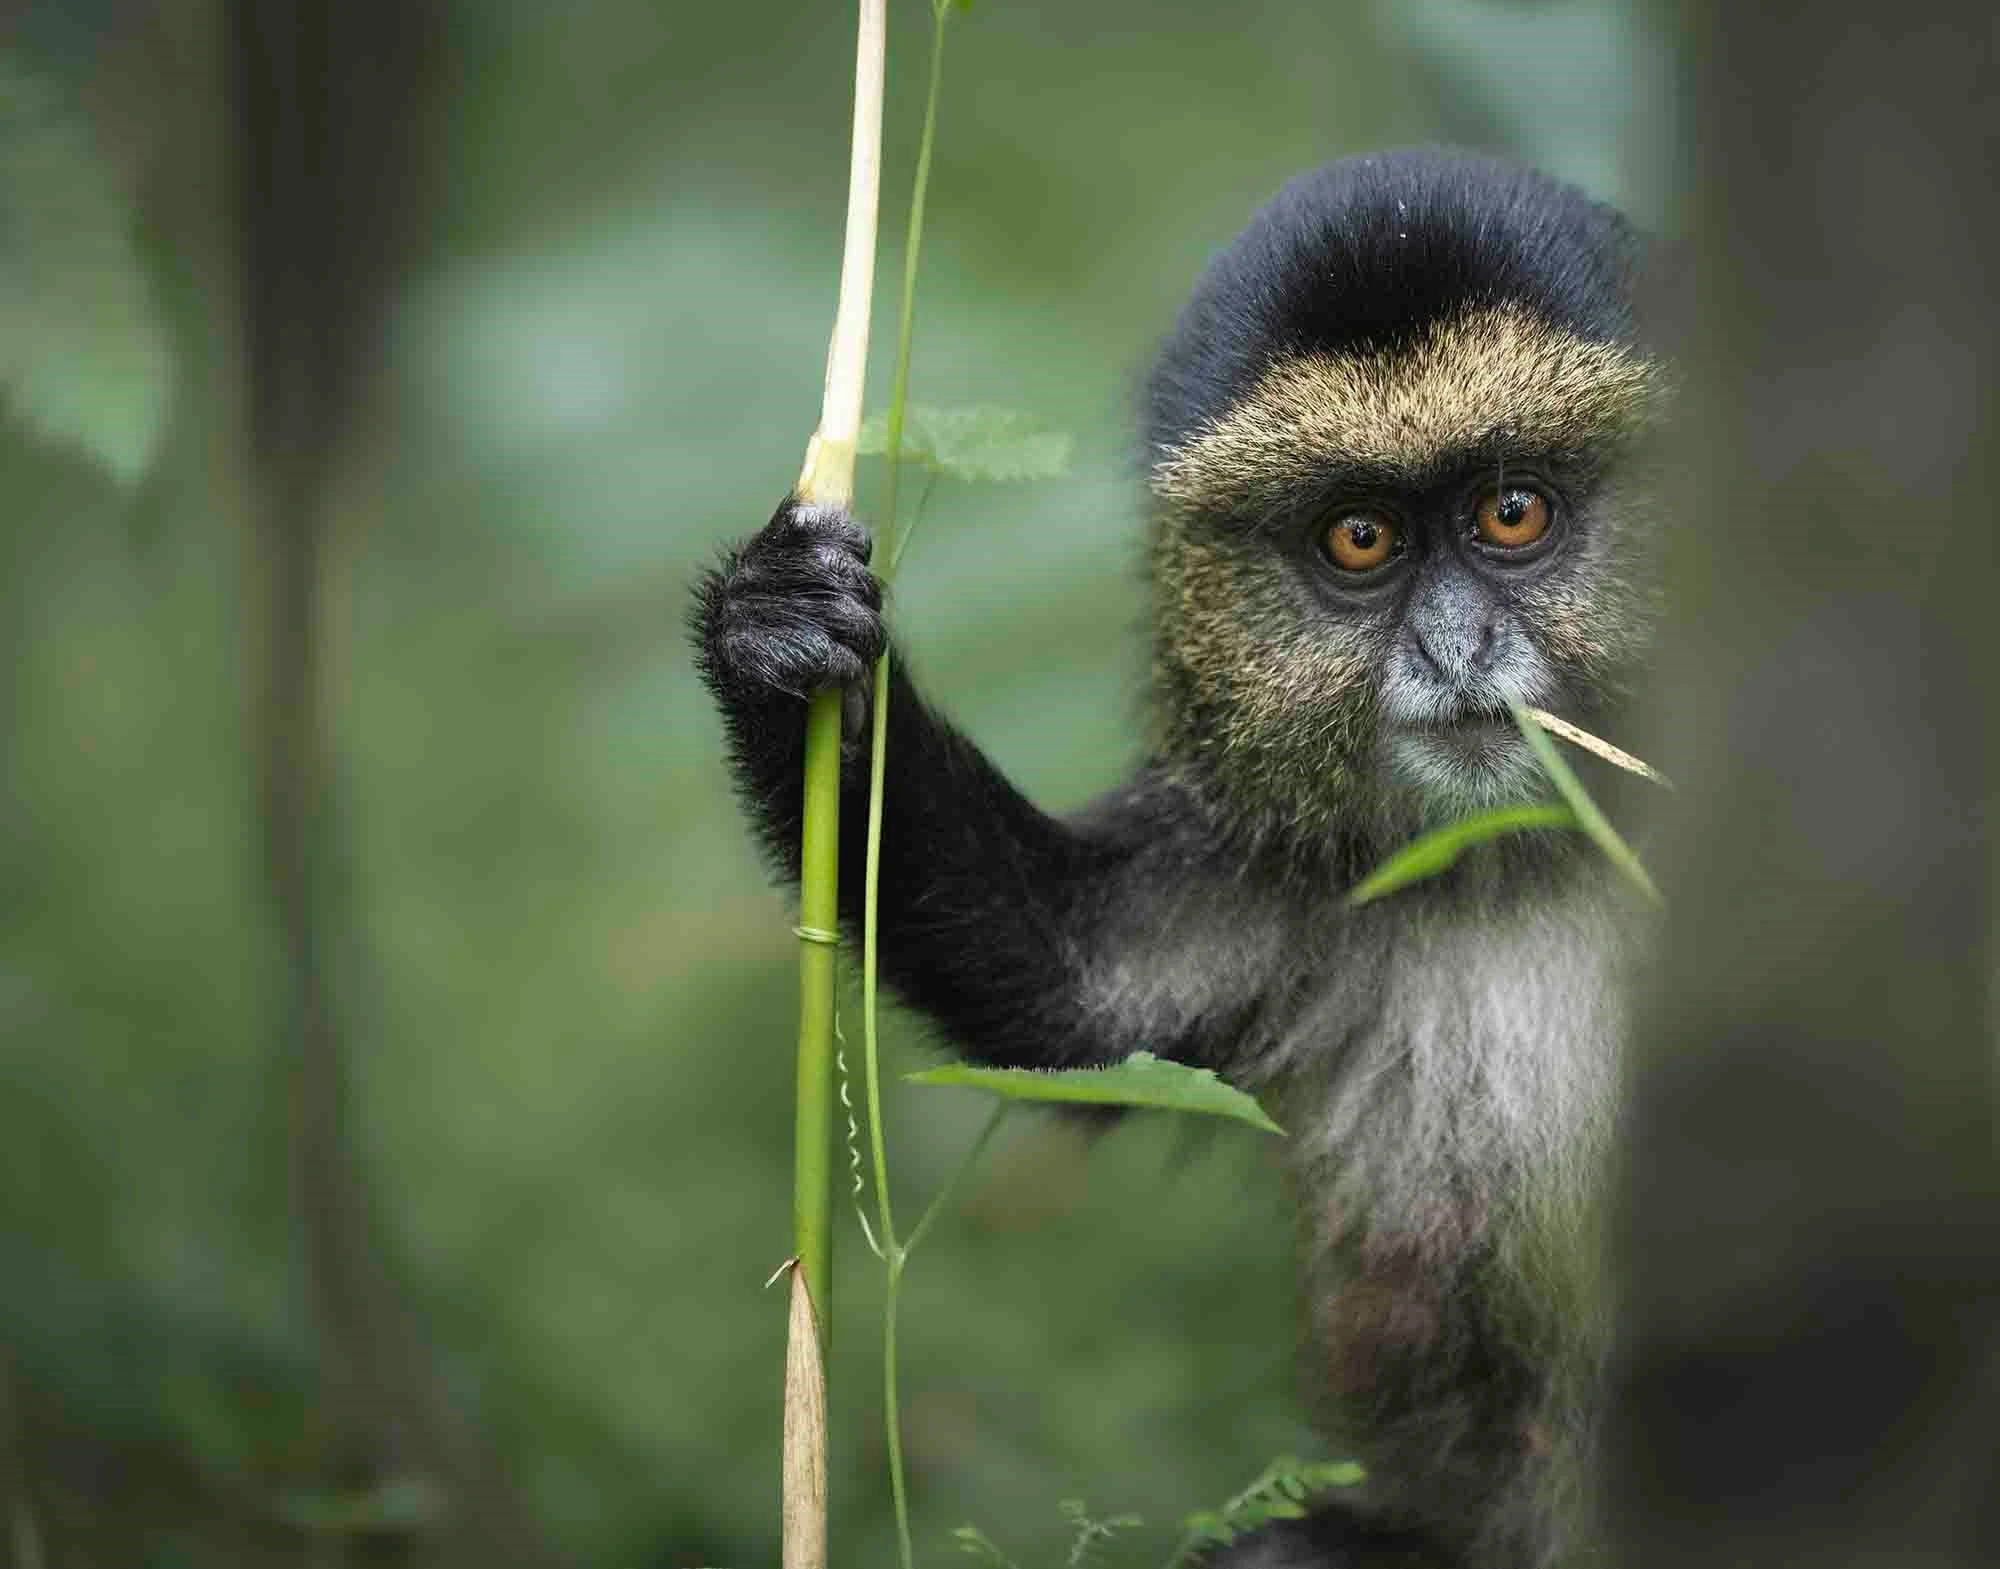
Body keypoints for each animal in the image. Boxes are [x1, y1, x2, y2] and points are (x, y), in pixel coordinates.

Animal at [693, 149, 1664, 1568]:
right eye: (1358, 540)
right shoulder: (1271, 859)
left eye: (1511, 511)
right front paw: (777, 639)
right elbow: (1074, 1000)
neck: (1522, 860)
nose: (1453, 649)